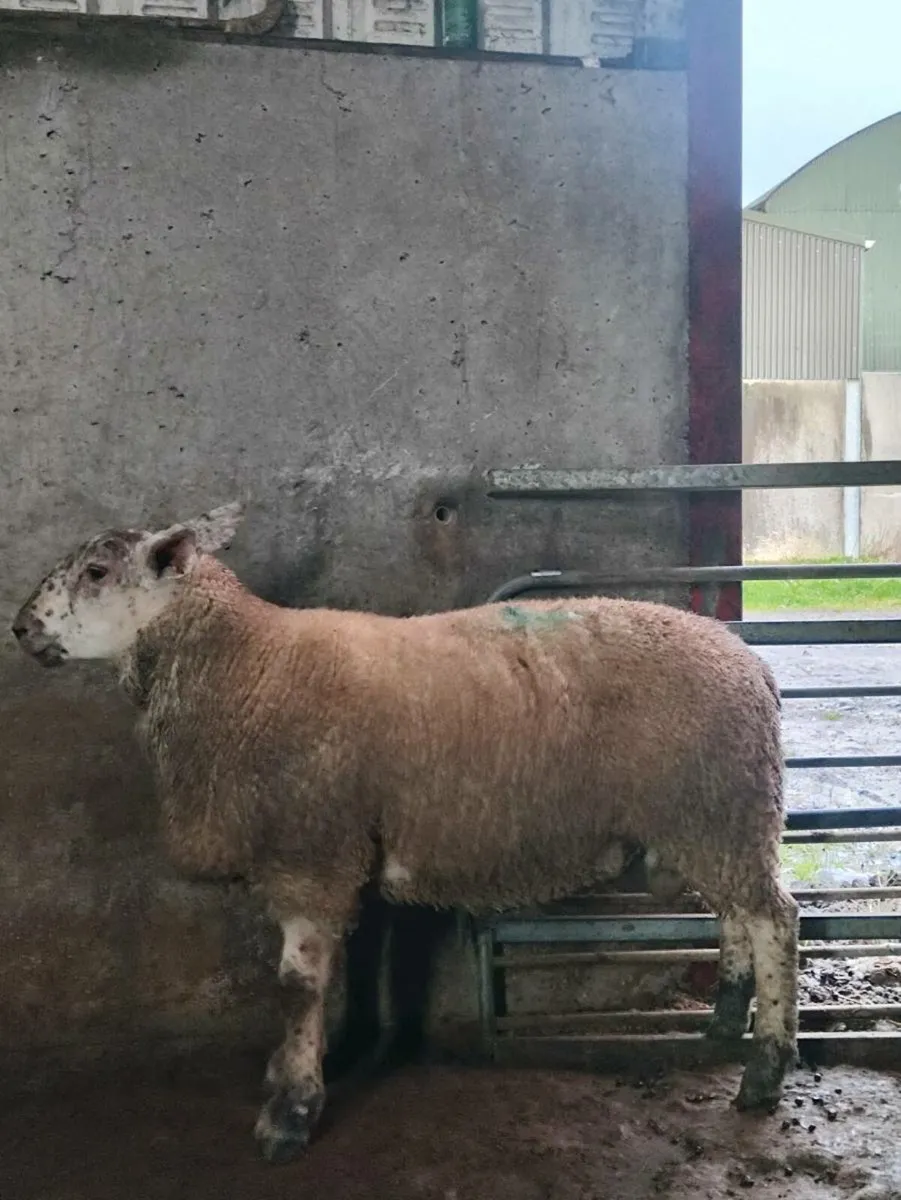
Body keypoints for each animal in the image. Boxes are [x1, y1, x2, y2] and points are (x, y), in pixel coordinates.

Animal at [11, 501, 799, 1163]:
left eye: (96, 572)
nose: (20, 628)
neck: (244, 664)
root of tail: (752, 664)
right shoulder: (331, 851)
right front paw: (307, 1069)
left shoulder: (312, 850)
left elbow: (297, 985)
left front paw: (290, 1112)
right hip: (714, 815)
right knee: (736, 914)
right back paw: (723, 1024)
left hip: (720, 804)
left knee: (773, 919)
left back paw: (764, 1070)